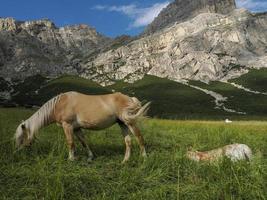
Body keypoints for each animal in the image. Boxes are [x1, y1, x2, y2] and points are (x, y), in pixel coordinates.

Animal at [15, 91, 151, 162]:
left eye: (21, 137)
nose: (17, 152)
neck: (60, 104)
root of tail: (130, 98)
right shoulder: (76, 128)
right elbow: (83, 142)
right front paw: (90, 157)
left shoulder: (67, 126)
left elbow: (70, 143)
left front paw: (71, 159)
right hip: (122, 124)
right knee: (128, 142)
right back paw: (125, 161)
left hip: (130, 122)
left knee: (139, 138)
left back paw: (144, 157)